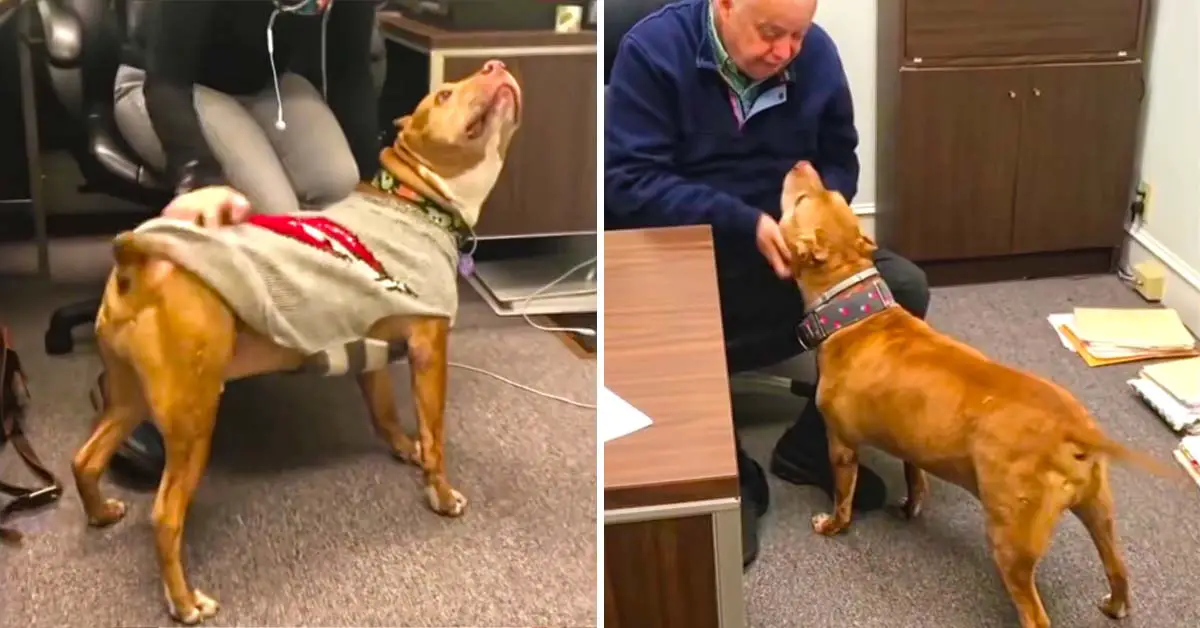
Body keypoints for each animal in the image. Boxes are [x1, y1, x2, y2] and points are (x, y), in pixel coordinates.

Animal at [70, 57, 520, 624]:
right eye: (443, 95)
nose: (496, 63)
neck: (415, 202)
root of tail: (138, 262)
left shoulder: (372, 344)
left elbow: (387, 411)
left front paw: (404, 448)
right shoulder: (429, 347)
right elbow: (435, 436)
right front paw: (440, 494)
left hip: (132, 395)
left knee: (85, 459)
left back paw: (100, 513)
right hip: (193, 415)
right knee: (165, 516)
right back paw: (185, 600)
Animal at [777, 160, 1180, 628]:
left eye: (800, 201)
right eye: (832, 194)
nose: (801, 163)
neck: (856, 311)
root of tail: (1073, 429)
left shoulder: (841, 445)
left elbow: (843, 498)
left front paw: (833, 525)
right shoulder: (913, 443)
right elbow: (916, 478)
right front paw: (911, 507)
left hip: (1012, 544)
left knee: (1036, 613)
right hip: (1100, 511)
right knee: (1118, 568)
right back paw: (1115, 605)